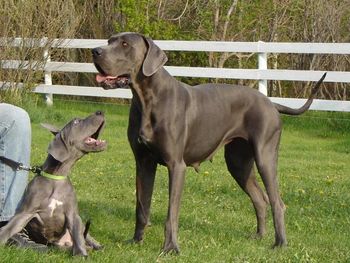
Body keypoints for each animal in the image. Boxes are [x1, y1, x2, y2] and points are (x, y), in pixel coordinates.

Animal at [0, 112, 106, 258]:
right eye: (76, 122)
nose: (100, 111)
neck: (56, 177)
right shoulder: (25, 213)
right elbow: (9, 228)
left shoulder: (73, 214)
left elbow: (78, 236)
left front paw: (80, 254)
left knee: (86, 236)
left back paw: (97, 246)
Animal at [91, 32, 324, 255]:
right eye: (109, 41)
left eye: (125, 45)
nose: (95, 51)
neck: (147, 98)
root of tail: (271, 103)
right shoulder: (143, 163)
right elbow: (142, 206)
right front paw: (137, 240)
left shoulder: (176, 166)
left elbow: (171, 213)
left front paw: (170, 248)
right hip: (238, 163)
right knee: (260, 198)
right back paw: (259, 236)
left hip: (265, 157)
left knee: (277, 202)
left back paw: (280, 243)